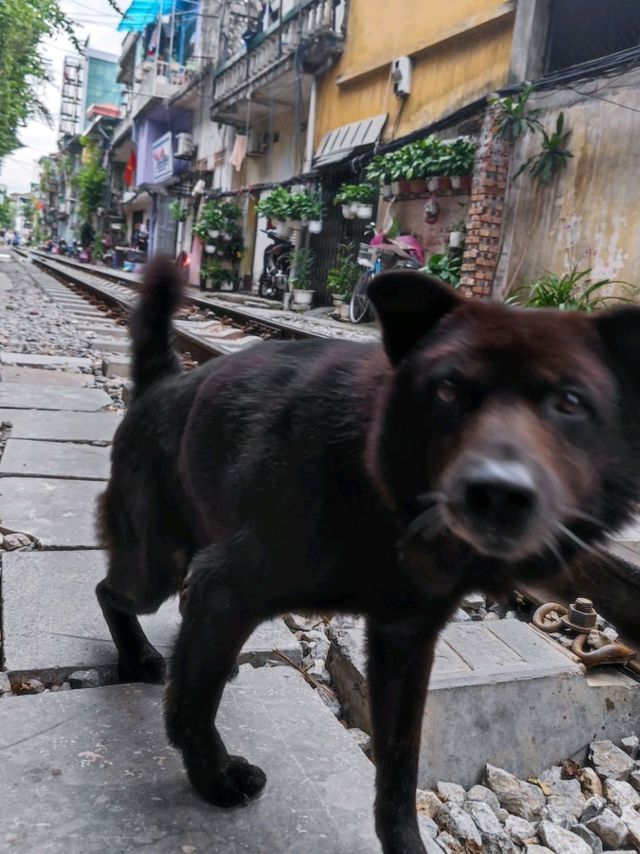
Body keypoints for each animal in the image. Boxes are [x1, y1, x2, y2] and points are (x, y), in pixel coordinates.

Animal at [96, 260, 640, 854]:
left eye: (571, 402)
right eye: (447, 389)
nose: (495, 493)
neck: (379, 489)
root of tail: (163, 382)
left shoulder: (405, 641)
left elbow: (400, 768)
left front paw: (404, 843)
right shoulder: (227, 586)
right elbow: (192, 709)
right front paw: (214, 780)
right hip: (158, 565)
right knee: (111, 593)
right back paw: (138, 656)